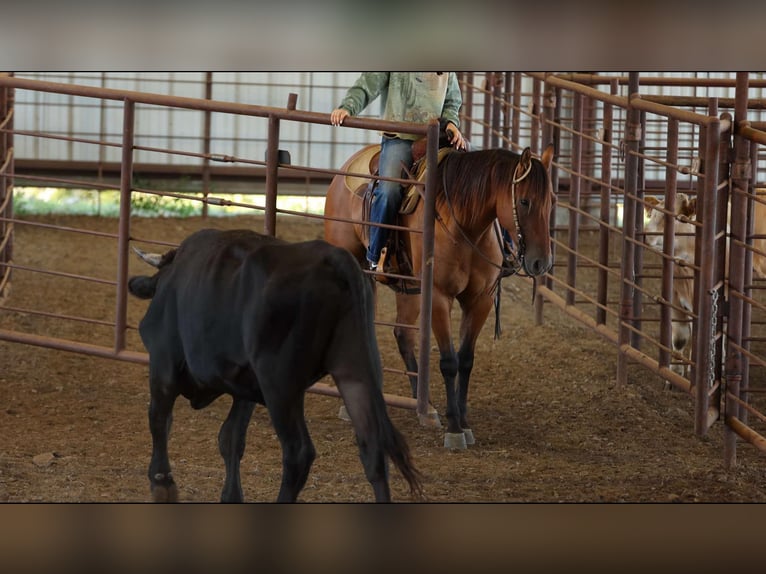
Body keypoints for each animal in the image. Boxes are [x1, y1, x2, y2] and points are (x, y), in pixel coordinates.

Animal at [324, 143, 555, 449]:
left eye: (551, 201)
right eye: (526, 201)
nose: (542, 263)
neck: (466, 225)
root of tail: (344, 170)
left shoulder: (480, 299)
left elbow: (466, 360)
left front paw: (463, 419)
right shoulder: (438, 296)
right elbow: (448, 362)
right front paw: (454, 427)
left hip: (409, 287)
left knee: (403, 335)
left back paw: (424, 405)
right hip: (360, 272)